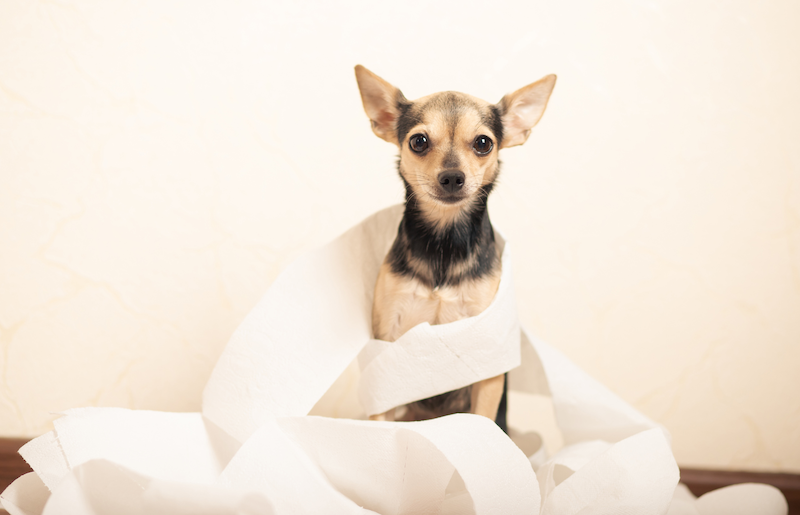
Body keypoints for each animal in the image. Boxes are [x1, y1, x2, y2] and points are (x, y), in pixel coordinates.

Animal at [356, 65, 556, 428]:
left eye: (483, 143)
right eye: (418, 141)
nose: (452, 176)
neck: (444, 241)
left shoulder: (487, 367)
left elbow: (483, 419)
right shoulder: (387, 347)